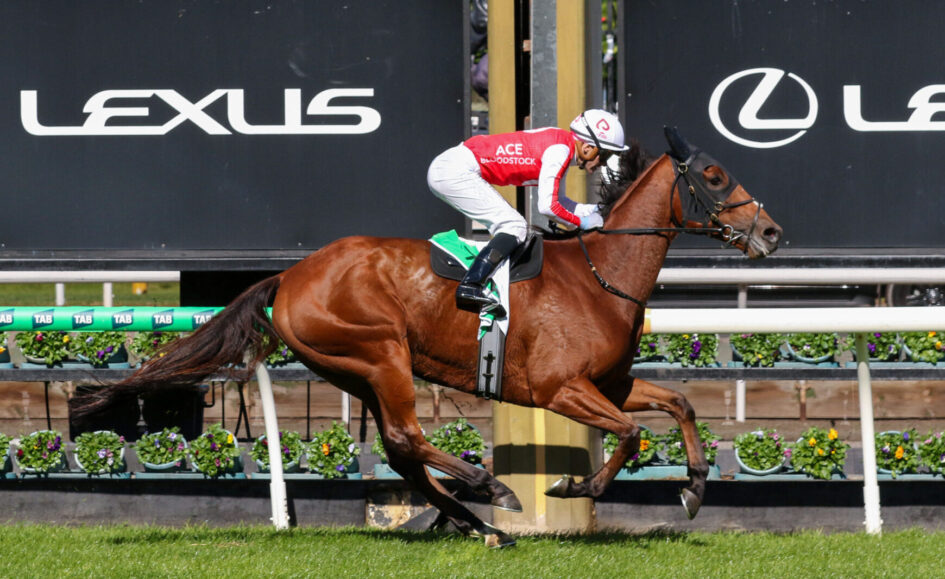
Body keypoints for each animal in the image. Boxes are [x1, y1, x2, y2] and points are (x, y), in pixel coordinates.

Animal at [73, 127, 782, 547]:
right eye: (714, 176)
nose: (772, 233)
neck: (599, 275)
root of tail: (291, 275)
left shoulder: (609, 382)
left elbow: (678, 404)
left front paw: (694, 488)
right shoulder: (559, 388)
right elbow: (631, 434)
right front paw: (569, 487)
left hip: (355, 367)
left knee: (400, 447)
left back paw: (478, 519)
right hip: (381, 353)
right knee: (409, 439)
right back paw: (489, 490)